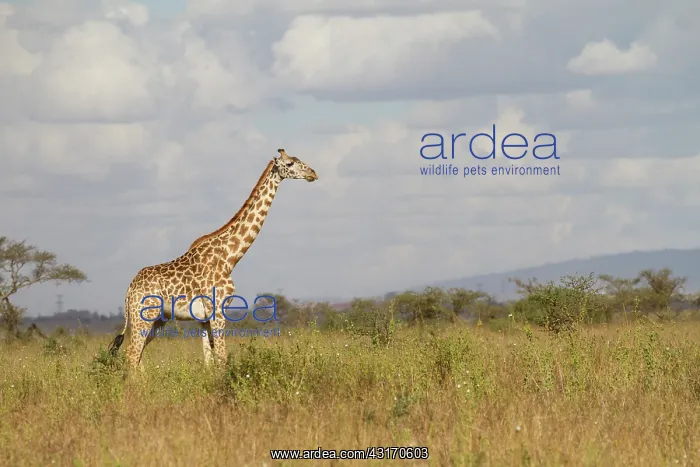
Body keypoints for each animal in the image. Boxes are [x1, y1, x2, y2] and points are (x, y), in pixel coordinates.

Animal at [107, 149, 318, 372]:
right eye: (291, 163)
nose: (313, 173)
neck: (229, 257)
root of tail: (129, 290)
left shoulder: (204, 318)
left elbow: (210, 361)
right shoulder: (218, 311)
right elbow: (222, 358)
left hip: (157, 319)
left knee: (136, 356)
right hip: (143, 316)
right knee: (132, 355)